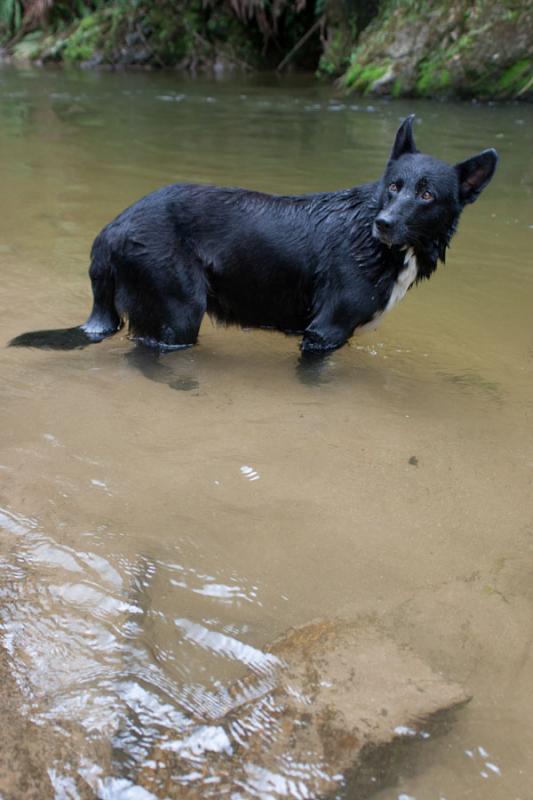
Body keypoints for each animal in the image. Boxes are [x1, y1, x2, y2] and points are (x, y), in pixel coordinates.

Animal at [10, 117, 496, 354]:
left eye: (427, 194)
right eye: (393, 186)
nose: (386, 224)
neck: (370, 241)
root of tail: (112, 228)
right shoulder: (323, 332)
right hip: (177, 312)